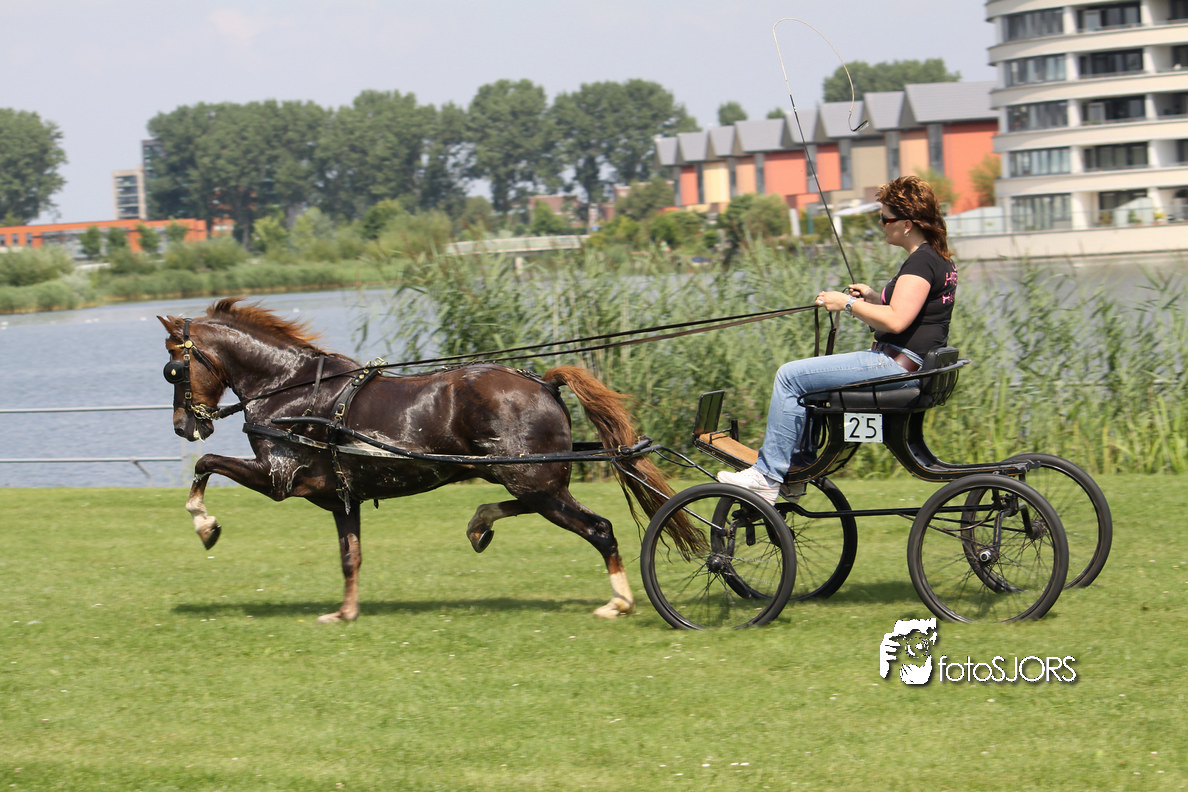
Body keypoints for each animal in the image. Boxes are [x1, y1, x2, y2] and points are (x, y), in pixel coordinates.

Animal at [158, 298, 699, 623]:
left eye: (173, 370)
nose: (184, 426)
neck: (290, 391)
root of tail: (544, 384)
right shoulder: (340, 498)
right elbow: (350, 555)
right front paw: (345, 613)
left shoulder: (278, 478)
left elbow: (206, 464)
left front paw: (205, 524)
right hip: (525, 476)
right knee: (533, 507)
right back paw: (481, 522)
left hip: (534, 480)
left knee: (599, 528)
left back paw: (619, 601)